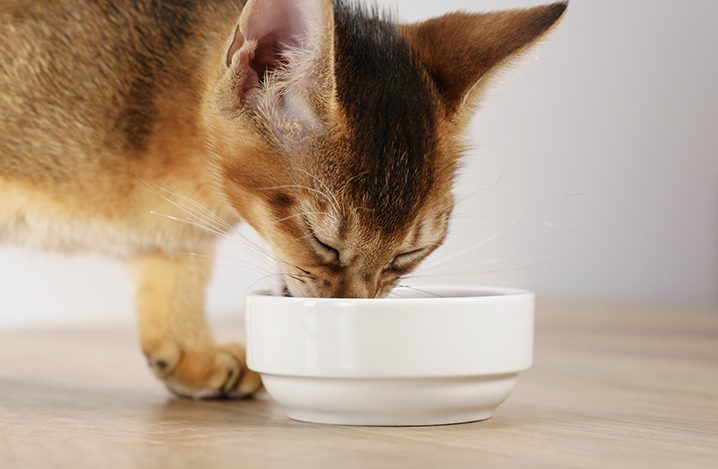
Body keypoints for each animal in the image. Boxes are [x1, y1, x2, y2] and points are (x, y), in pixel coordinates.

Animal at [0, 0, 568, 398]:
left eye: (408, 254)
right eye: (323, 241)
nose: (353, 314)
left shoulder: (173, 233)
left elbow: (176, 272)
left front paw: (192, 356)